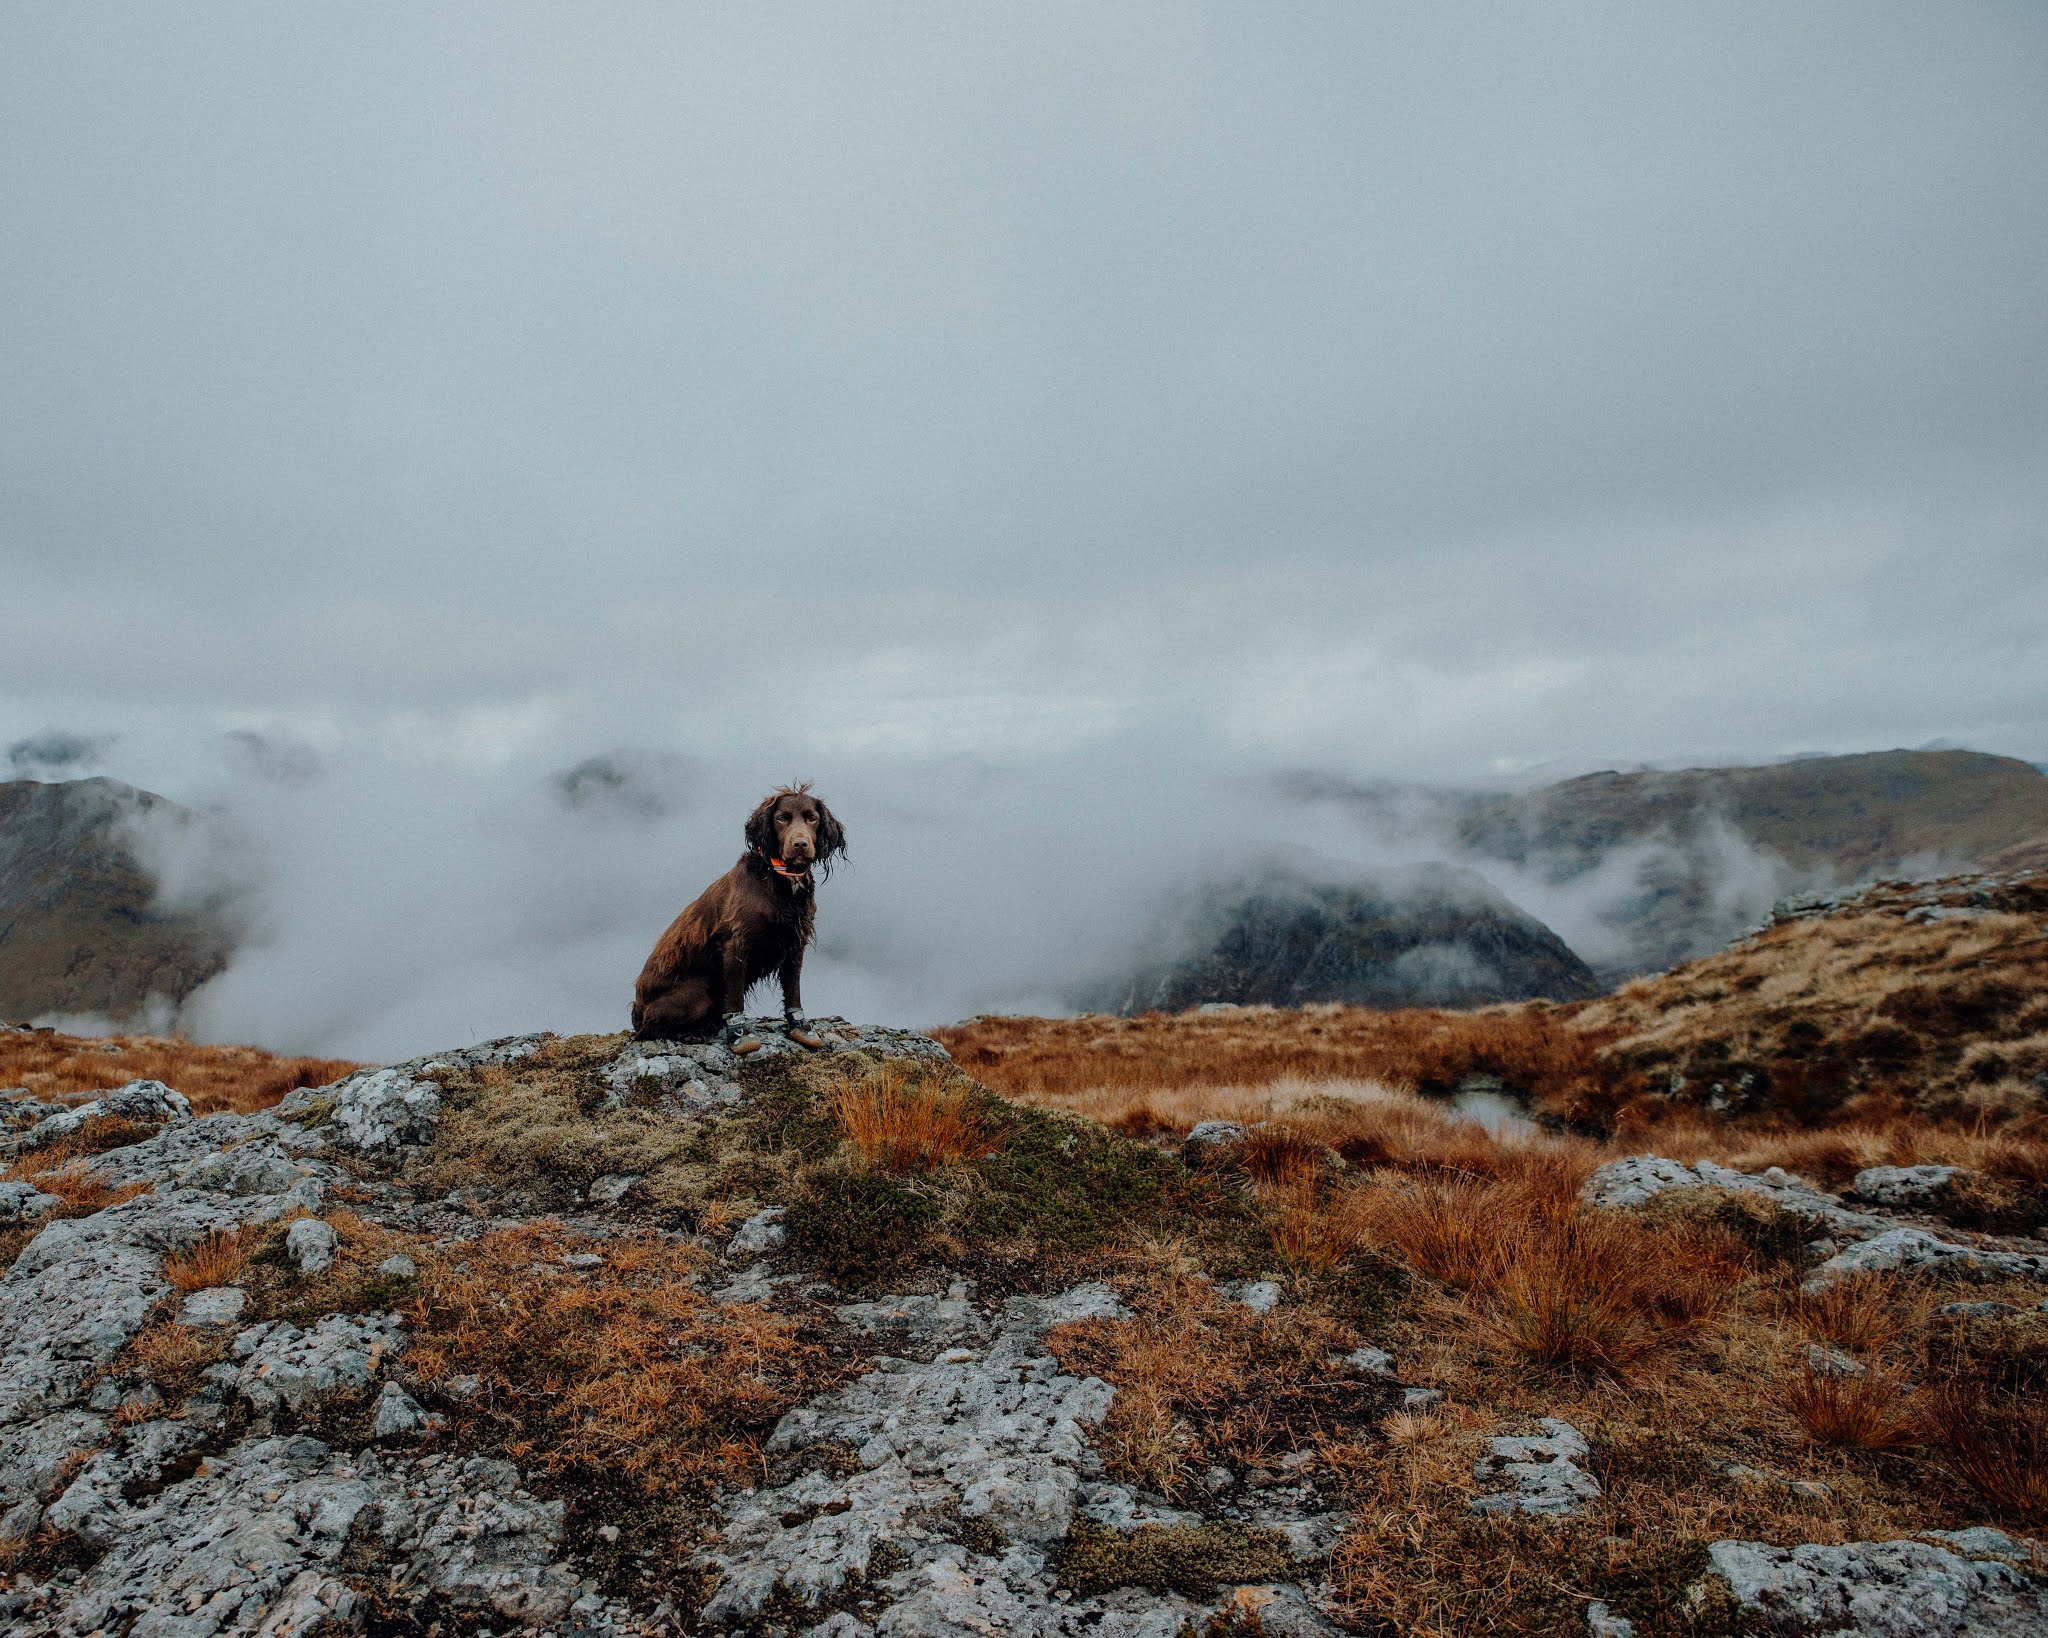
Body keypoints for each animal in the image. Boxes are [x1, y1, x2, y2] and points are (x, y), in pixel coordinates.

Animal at [626, 786, 843, 1044]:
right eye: (782, 818)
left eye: (812, 818)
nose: (800, 844)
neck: (779, 881)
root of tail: (637, 1011)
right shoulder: (735, 944)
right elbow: (735, 996)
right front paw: (740, 1034)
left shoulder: (795, 944)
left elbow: (793, 990)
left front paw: (800, 1026)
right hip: (701, 992)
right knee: (649, 1030)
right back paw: (693, 1033)